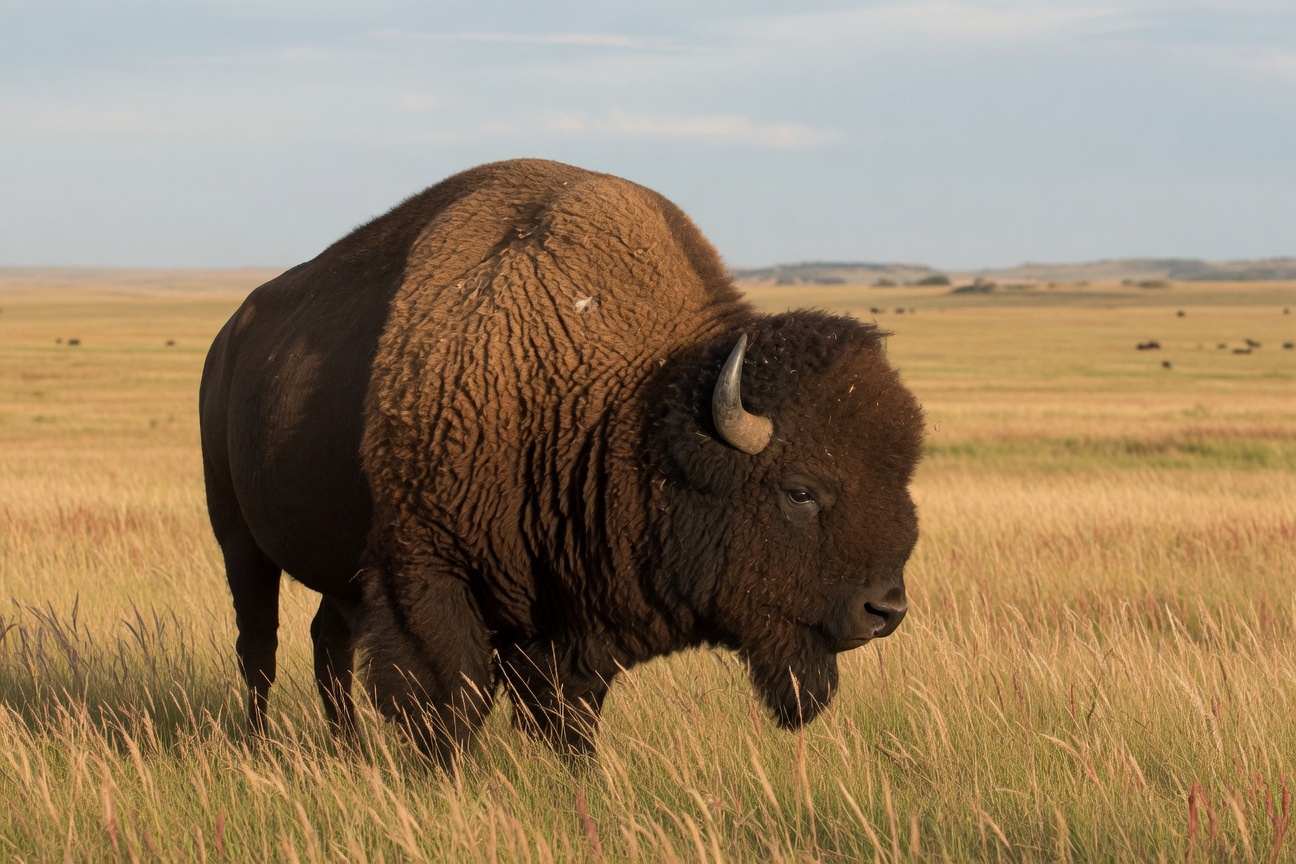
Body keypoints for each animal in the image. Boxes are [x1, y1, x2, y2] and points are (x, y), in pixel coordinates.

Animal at [200, 159, 924, 765]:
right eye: (800, 492)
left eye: (901, 480)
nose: (885, 611)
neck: (624, 407)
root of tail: (227, 338)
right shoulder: (426, 577)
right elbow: (451, 701)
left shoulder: (569, 619)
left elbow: (566, 714)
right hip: (240, 544)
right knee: (259, 646)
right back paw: (259, 744)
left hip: (335, 570)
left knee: (327, 642)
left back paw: (346, 750)